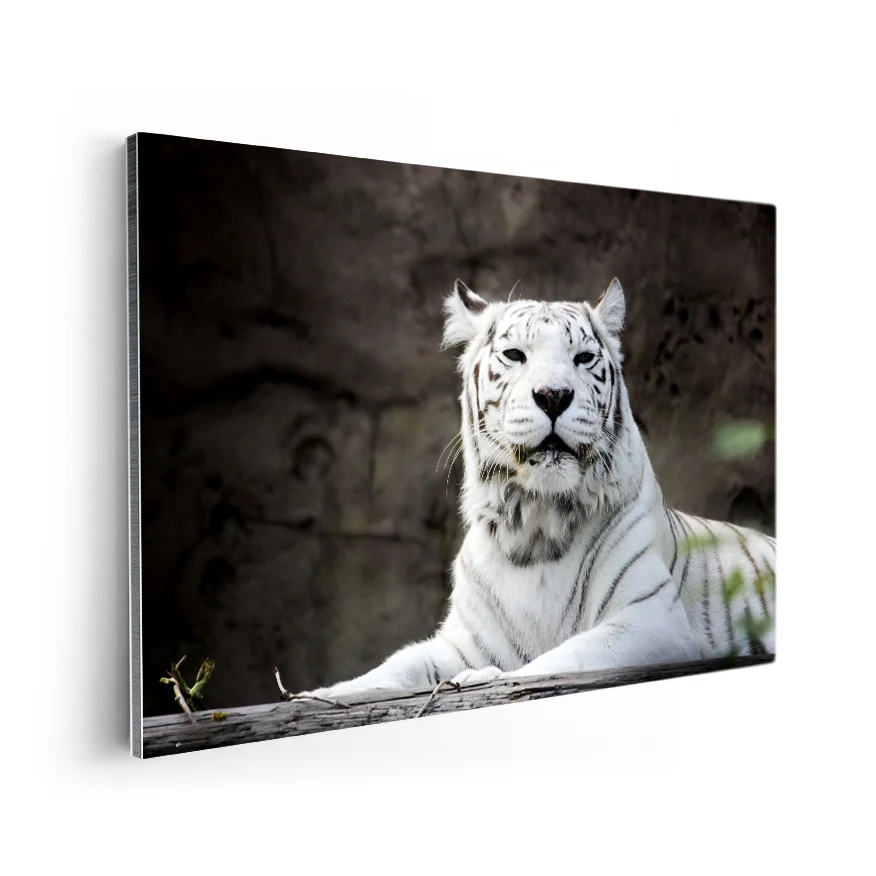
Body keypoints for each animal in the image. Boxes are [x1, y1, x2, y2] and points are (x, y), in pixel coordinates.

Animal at [296, 277, 776, 700]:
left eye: (583, 358)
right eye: (515, 354)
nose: (553, 395)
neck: (535, 523)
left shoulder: (651, 620)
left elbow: (558, 660)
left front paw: (478, 679)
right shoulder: (465, 640)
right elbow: (398, 664)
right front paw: (318, 694)